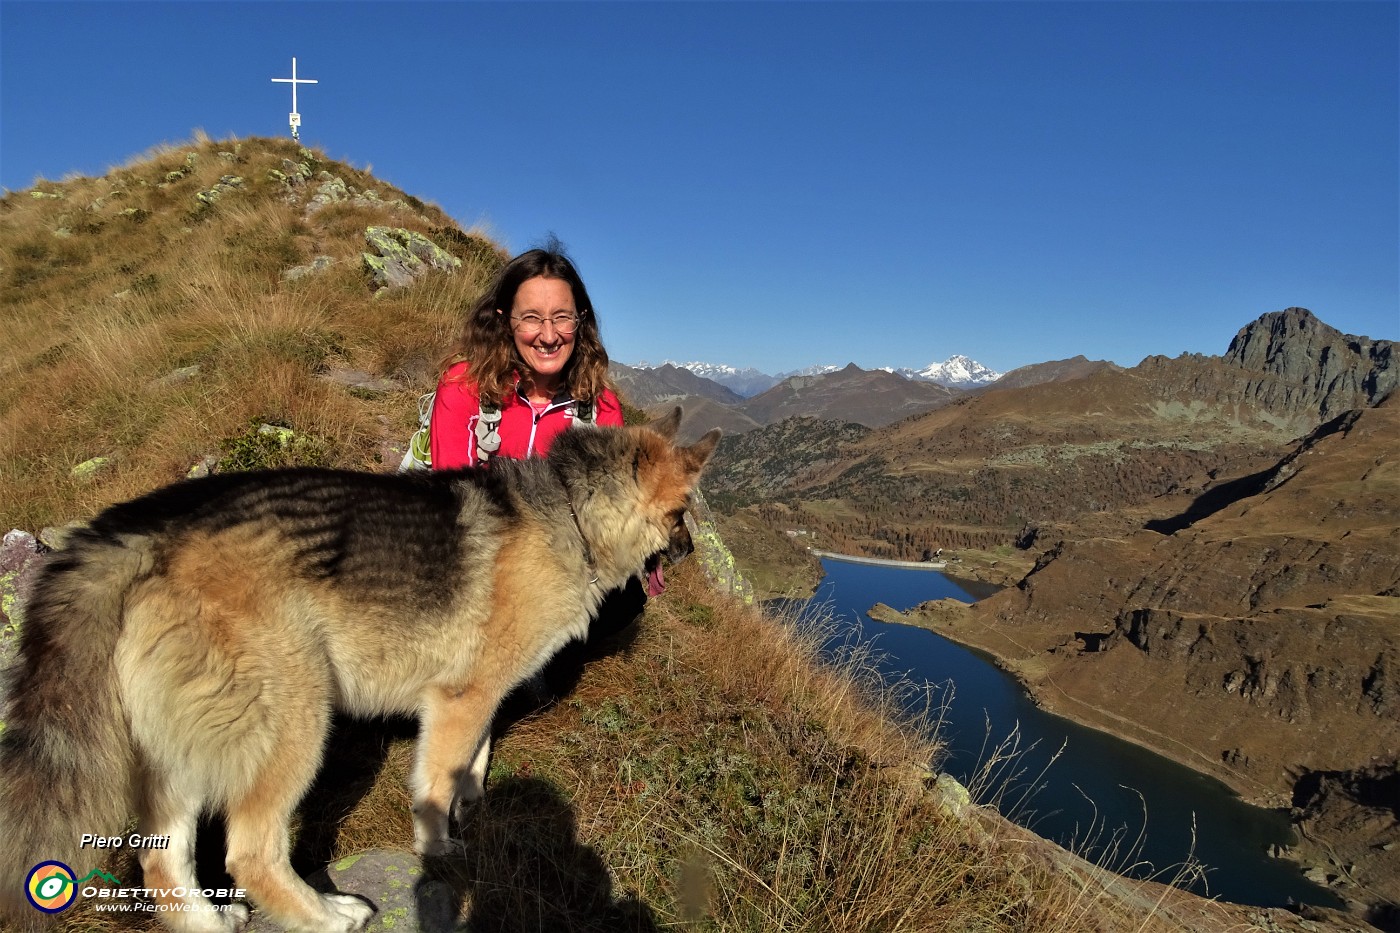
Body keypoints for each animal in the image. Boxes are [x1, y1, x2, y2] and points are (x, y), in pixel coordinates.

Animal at [0, 409, 716, 930]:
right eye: (680, 513)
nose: (686, 553)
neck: (568, 513)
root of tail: (140, 534)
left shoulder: (474, 699)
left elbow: (474, 760)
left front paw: (473, 806)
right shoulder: (462, 697)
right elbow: (436, 785)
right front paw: (439, 850)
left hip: (179, 753)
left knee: (164, 868)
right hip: (297, 722)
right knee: (250, 852)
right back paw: (328, 916)